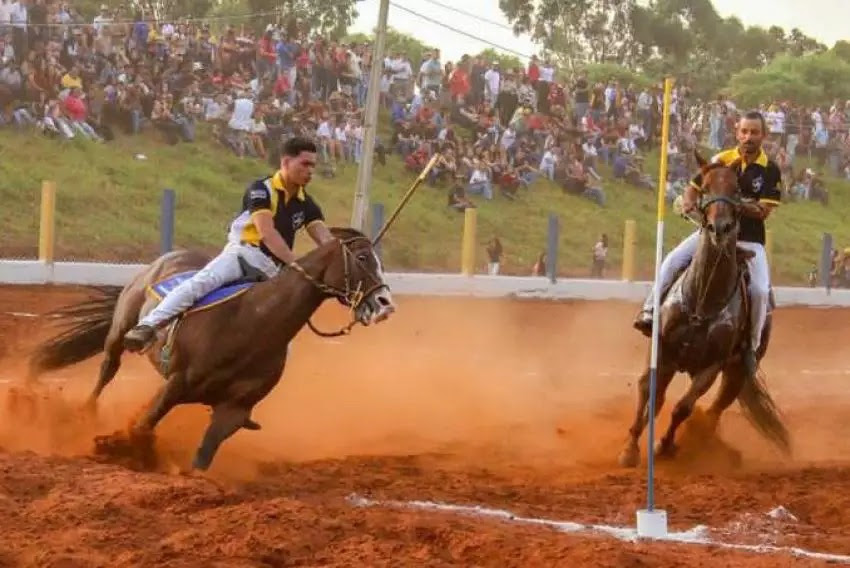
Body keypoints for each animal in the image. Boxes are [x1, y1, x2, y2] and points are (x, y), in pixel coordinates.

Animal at [27, 226, 394, 470]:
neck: (248, 323)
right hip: (120, 330)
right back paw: (85, 413)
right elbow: (144, 424)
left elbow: (204, 455)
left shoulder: (234, 410)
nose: (385, 303)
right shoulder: (176, 384)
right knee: (107, 368)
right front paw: (119, 449)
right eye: (363, 257)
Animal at [616, 154, 788, 466]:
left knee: (714, 410)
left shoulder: (712, 366)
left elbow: (683, 407)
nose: (719, 228)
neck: (702, 300)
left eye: (737, 190)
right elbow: (649, 391)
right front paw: (630, 448)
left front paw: (665, 446)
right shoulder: (662, 348)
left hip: (737, 373)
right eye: (704, 187)